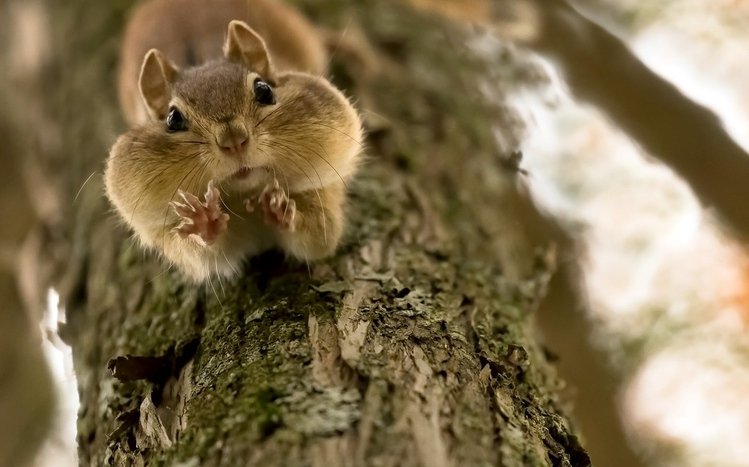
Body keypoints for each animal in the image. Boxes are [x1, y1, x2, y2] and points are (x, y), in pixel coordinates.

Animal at [104, 0, 363, 282]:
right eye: (173, 118)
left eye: (264, 90)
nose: (234, 141)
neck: (244, 195)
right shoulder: (174, 238)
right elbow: (205, 255)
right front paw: (203, 222)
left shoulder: (322, 191)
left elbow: (319, 237)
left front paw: (281, 209)